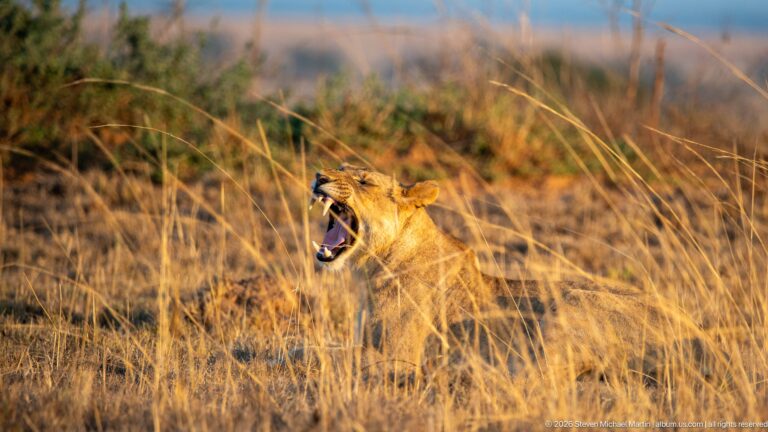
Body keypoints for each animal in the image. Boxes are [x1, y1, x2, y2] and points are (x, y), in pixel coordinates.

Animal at [309, 163, 719, 383]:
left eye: (364, 181)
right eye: (339, 168)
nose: (317, 175)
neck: (371, 269)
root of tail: (704, 341)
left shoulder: (396, 356)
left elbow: (330, 356)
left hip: (569, 307)